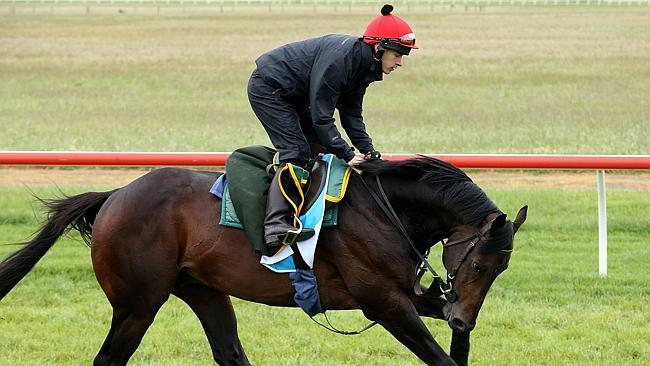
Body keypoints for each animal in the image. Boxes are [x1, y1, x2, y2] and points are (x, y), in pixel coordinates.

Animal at [0, 157, 528, 366]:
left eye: (499, 270)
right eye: (479, 266)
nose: (462, 318)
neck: (387, 210)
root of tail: (114, 196)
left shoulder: (408, 297)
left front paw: (462, 335)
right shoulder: (383, 302)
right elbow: (439, 357)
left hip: (204, 292)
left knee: (230, 352)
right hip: (137, 304)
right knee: (110, 357)